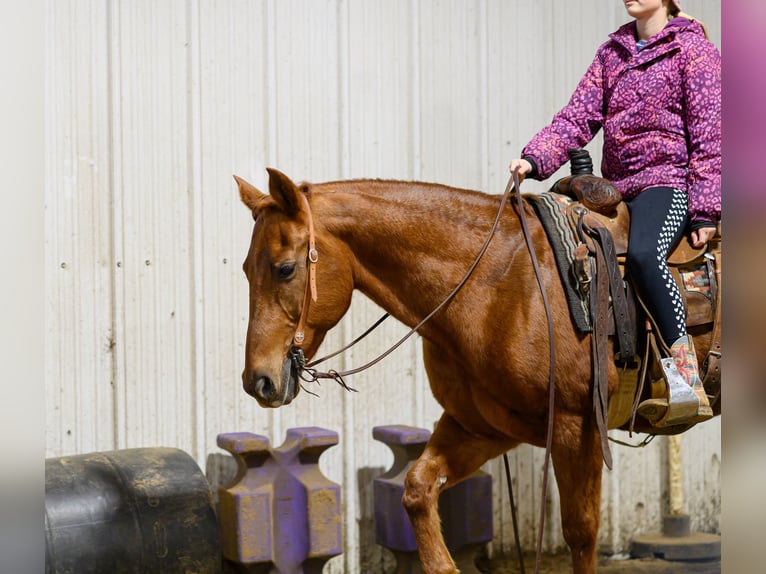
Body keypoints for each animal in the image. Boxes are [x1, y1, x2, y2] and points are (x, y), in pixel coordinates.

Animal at [235, 167, 716, 574]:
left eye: (285, 268)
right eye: (245, 268)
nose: (258, 381)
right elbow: (417, 489)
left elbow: (581, 534)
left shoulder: (575, 427)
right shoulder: (482, 426)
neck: (498, 284)